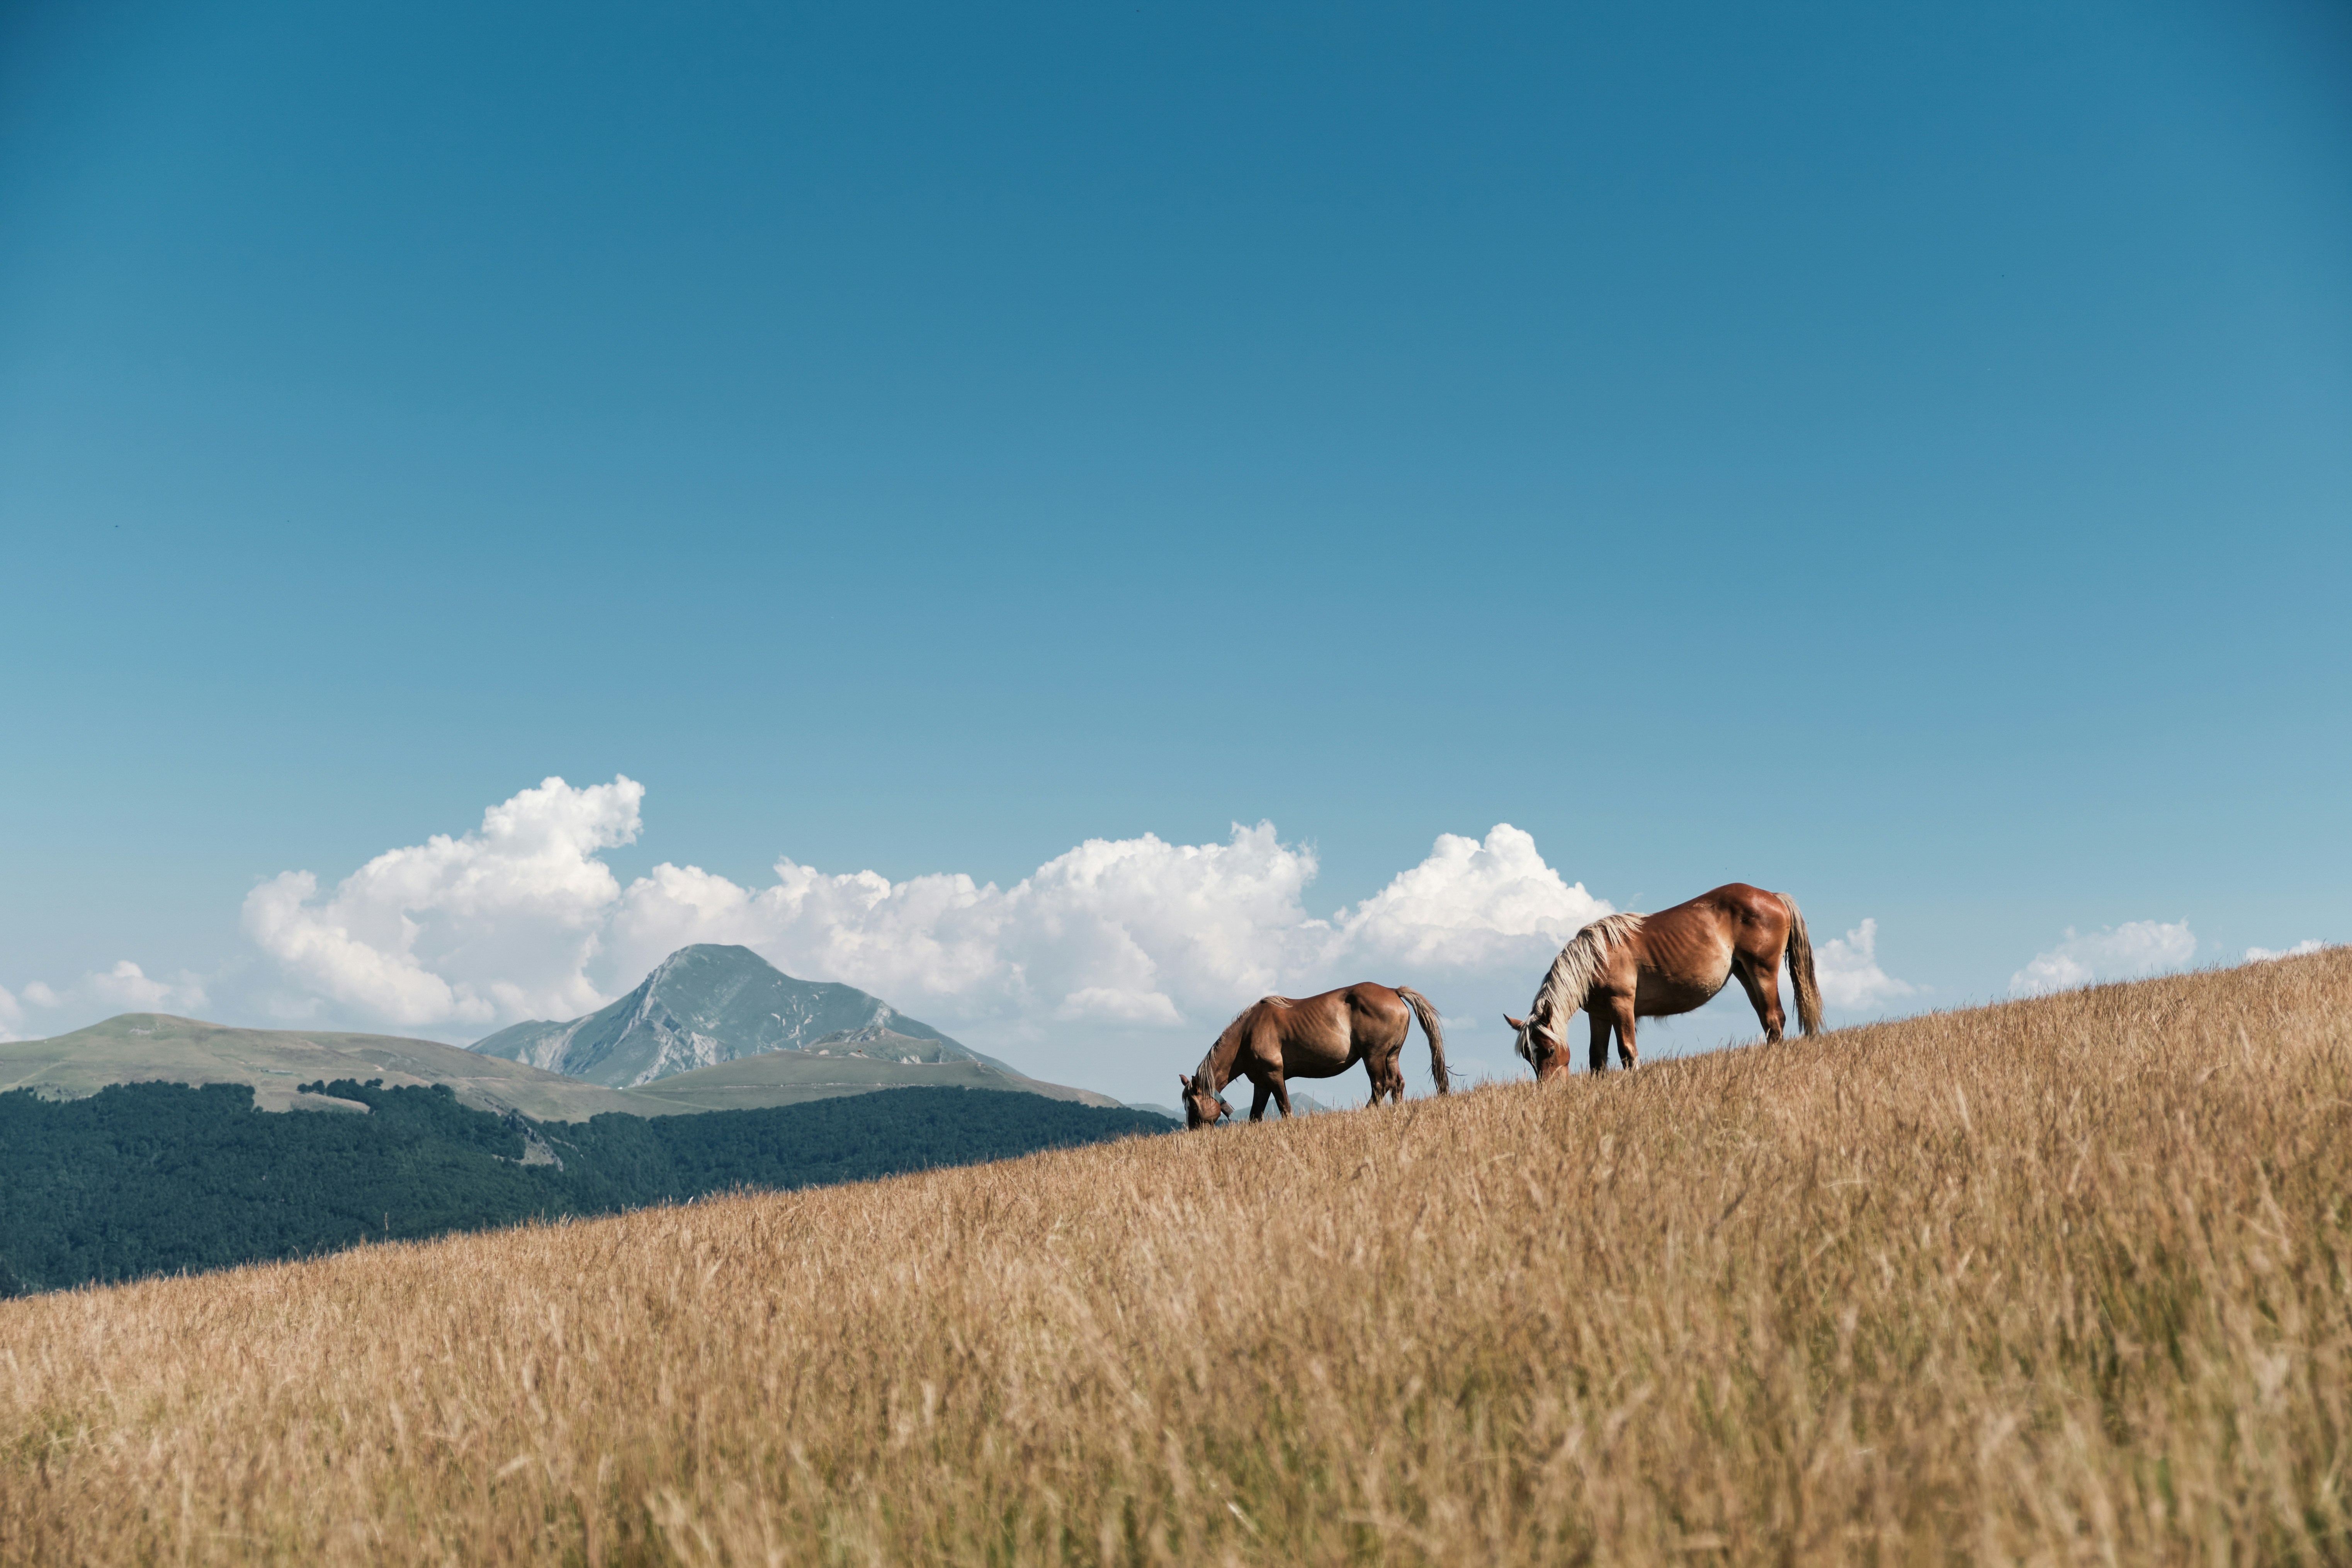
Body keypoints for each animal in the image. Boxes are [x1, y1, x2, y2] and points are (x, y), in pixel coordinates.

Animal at [1178, 983, 1449, 1128]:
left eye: (1193, 1105)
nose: (1193, 1131)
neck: (1247, 1034)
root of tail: (1394, 991)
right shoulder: (1261, 1084)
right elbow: (1256, 1116)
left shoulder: (1274, 1076)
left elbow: (1285, 1108)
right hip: (1391, 1055)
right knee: (1398, 1084)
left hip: (1374, 1056)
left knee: (1381, 1085)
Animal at [1504, 883, 1822, 1080]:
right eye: (1528, 1056)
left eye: (1549, 1050)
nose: (1550, 1091)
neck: (1598, 956)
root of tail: (1774, 896)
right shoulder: (1599, 1014)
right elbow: (1598, 1059)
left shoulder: (1621, 1006)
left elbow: (1627, 1051)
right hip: (1746, 974)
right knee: (1768, 1022)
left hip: (1763, 971)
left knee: (1775, 1019)